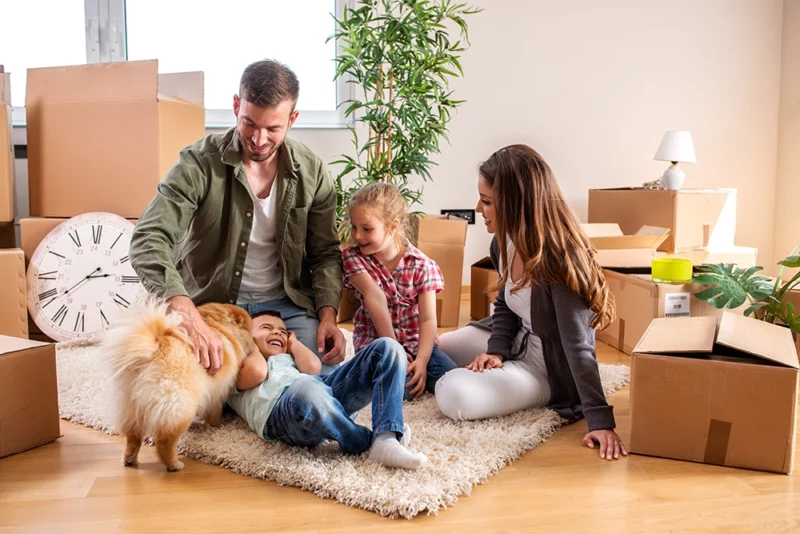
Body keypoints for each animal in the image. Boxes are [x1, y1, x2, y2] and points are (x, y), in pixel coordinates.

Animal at [104, 302, 253, 474]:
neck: (222, 328)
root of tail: (151, 352)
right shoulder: (217, 393)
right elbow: (214, 412)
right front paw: (217, 426)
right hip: (179, 405)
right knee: (164, 441)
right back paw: (174, 464)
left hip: (130, 405)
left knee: (133, 437)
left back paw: (129, 459)